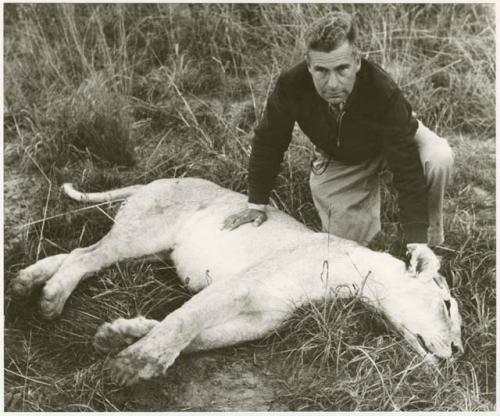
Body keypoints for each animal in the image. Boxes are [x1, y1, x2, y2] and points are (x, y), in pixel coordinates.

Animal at [11, 177, 462, 386]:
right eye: (447, 305)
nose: (458, 351)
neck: (352, 280)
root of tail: (161, 178)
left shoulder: (256, 321)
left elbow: (188, 337)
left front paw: (117, 336)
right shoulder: (238, 286)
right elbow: (183, 323)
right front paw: (133, 365)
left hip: (150, 249)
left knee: (75, 254)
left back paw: (23, 283)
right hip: (144, 233)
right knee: (84, 256)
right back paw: (50, 299)